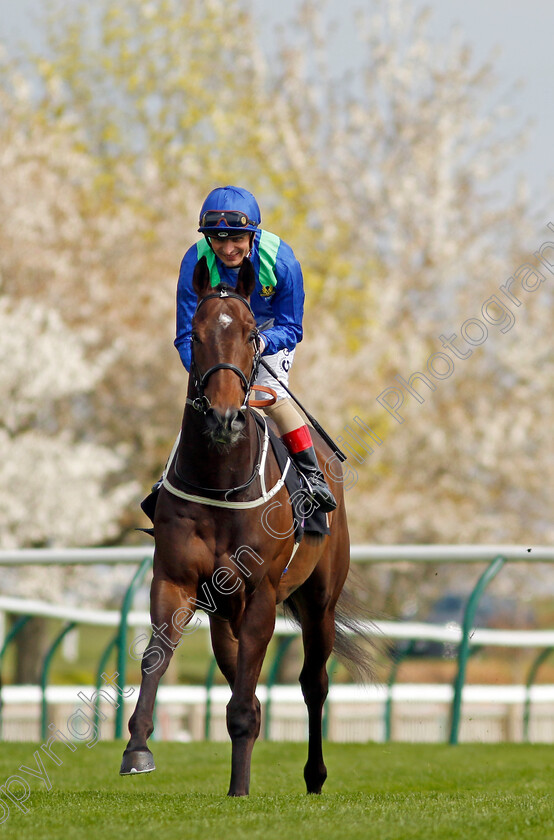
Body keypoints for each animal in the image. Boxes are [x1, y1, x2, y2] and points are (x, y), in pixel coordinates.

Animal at [120, 254, 360, 796]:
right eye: (196, 332)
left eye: (252, 334)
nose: (225, 418)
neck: (221, 484)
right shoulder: (176, 581)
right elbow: (157, 656)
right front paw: (138, 747)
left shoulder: (261, 593)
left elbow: (251, 701)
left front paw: (240, 791)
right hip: (222, 614)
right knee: (241, 682)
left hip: (319, 601)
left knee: (313, 684)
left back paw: (314, 775)